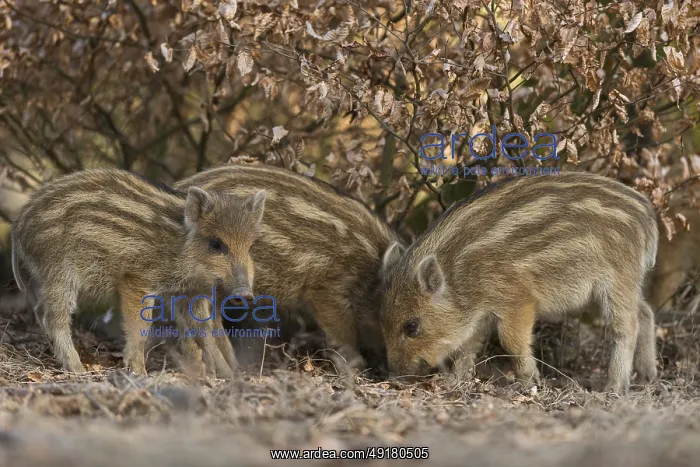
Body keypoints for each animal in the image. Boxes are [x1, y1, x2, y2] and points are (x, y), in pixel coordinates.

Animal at [11, 168, 265, 377]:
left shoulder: (188, 294)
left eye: (250, 246)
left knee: (40, 310)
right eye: (215, 244)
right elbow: (140, 328)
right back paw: (78, 369)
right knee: (55, 317)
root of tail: (19, 222)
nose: (246, 294)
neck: (179, 247)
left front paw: (228, 375)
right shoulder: (136, 280)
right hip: (59, 271)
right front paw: (139, 373)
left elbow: (205, 332)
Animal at [378, 172, 659, 394]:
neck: (459, 274)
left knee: (626, 327)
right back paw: (648, 377)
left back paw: (614, 387)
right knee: (645, 312)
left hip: (617, 280)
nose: (395, 377)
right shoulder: (480, 315)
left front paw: (529, 381)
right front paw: (456, 381)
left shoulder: (516, 298)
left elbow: (510, 341)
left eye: (412, 326)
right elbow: (468, 347)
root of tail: (647, 216)